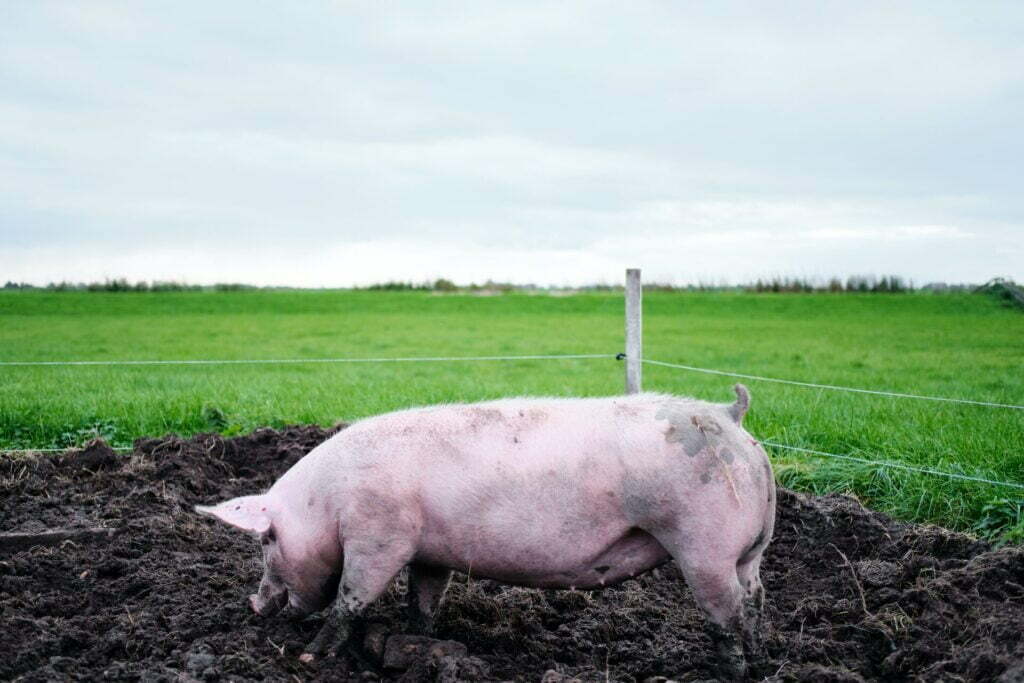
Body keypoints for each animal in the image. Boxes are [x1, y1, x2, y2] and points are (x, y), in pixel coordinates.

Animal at [197, 387, 774, 675]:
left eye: (267, 539)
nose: (254, 603)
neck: (327, 502)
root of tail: (731, 416)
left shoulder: (379, 536)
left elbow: (350, 598)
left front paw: (311, 656)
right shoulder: (429, 551)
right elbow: (423, 600)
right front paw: (418, 643)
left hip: (704, 546)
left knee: (726, 614)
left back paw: (729, 674)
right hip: (749, 554)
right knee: (754, 603)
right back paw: (755, 662)